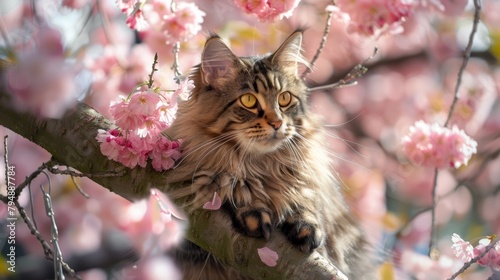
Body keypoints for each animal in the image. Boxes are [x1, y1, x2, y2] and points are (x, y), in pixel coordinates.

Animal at [163, 31, 372, 280]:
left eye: (284, 98)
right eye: (249, 100)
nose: (277, 122)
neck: (262, 165)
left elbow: (307, 204)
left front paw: (306, 224)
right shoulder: (191, 229)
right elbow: (231, 186)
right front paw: (250, 207)